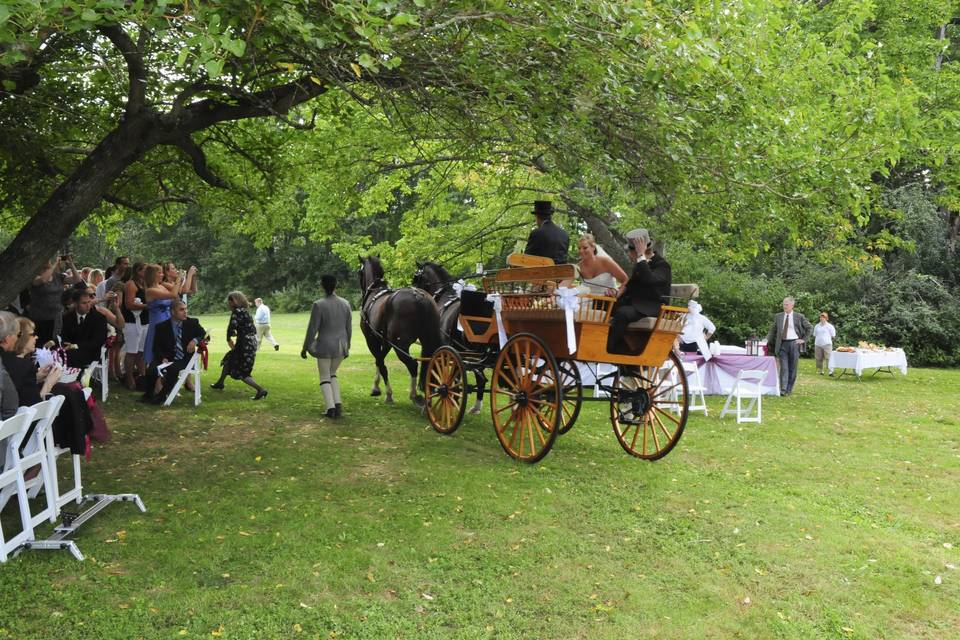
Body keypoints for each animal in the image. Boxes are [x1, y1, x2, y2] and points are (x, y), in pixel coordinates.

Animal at [360, 255, 442, 404]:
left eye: (360, 272)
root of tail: (418, 297)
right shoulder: (385, 341)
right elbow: (379, 360)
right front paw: (377, 387)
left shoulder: (371, 339)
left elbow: (380, 362)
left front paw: (386, 393)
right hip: (427, 339)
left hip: (400, 345)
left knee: (413, 364)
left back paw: (414, 395)